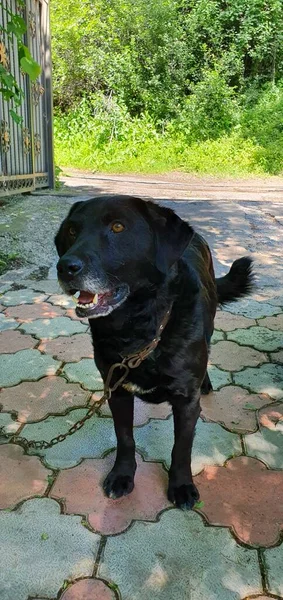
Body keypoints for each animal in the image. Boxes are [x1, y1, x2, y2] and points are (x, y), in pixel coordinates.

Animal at [55, 195, 253, 508]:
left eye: (118, 227)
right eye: (73, 231)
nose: (65, 267)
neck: (138, 332)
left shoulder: (186, 403)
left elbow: (181, 448)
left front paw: (181, 485)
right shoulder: (117, 392)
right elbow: (125, 439)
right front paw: (122, 476)